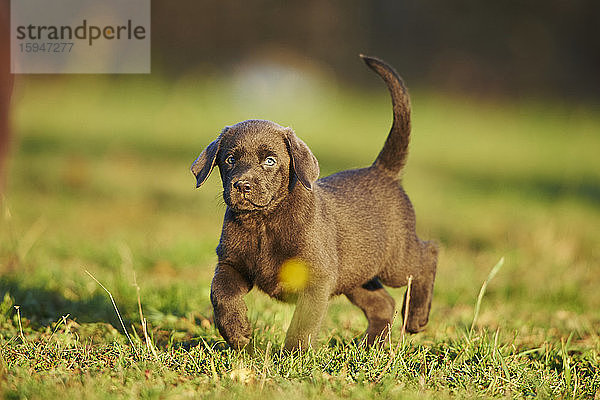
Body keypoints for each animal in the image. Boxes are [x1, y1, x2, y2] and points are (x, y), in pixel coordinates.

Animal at [191, 54, 436, 350]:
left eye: (270, 160)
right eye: (229, 159)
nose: (242, 186)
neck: (263, 222)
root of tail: (382, 171)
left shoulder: (317, 278)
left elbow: (303, 323)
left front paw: (293, 355)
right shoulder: (231, 264)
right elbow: (220, 294)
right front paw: (238, 333)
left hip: (396, 261)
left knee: (429, 254)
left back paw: (416, 318)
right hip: (356, 274)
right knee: (383, 304)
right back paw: (368, 346)